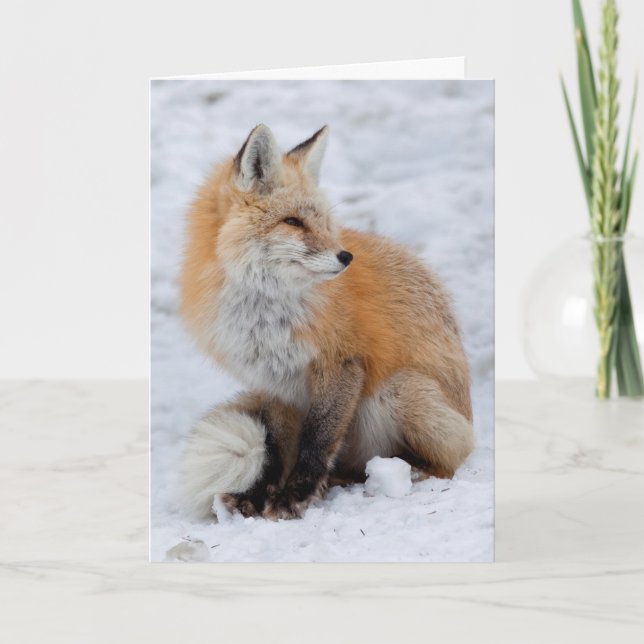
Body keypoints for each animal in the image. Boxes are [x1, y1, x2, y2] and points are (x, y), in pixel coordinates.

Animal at [178, 124, 474, 520]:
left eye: (324, 224)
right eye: (293, 222)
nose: (346, 257)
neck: (265, 315)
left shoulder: (341, 362)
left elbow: (317, 439)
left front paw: (295, 495)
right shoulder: (272, 383)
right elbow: (275, 449)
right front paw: (258, 495)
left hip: (401, 391)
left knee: (447, 464)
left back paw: (402, 472)